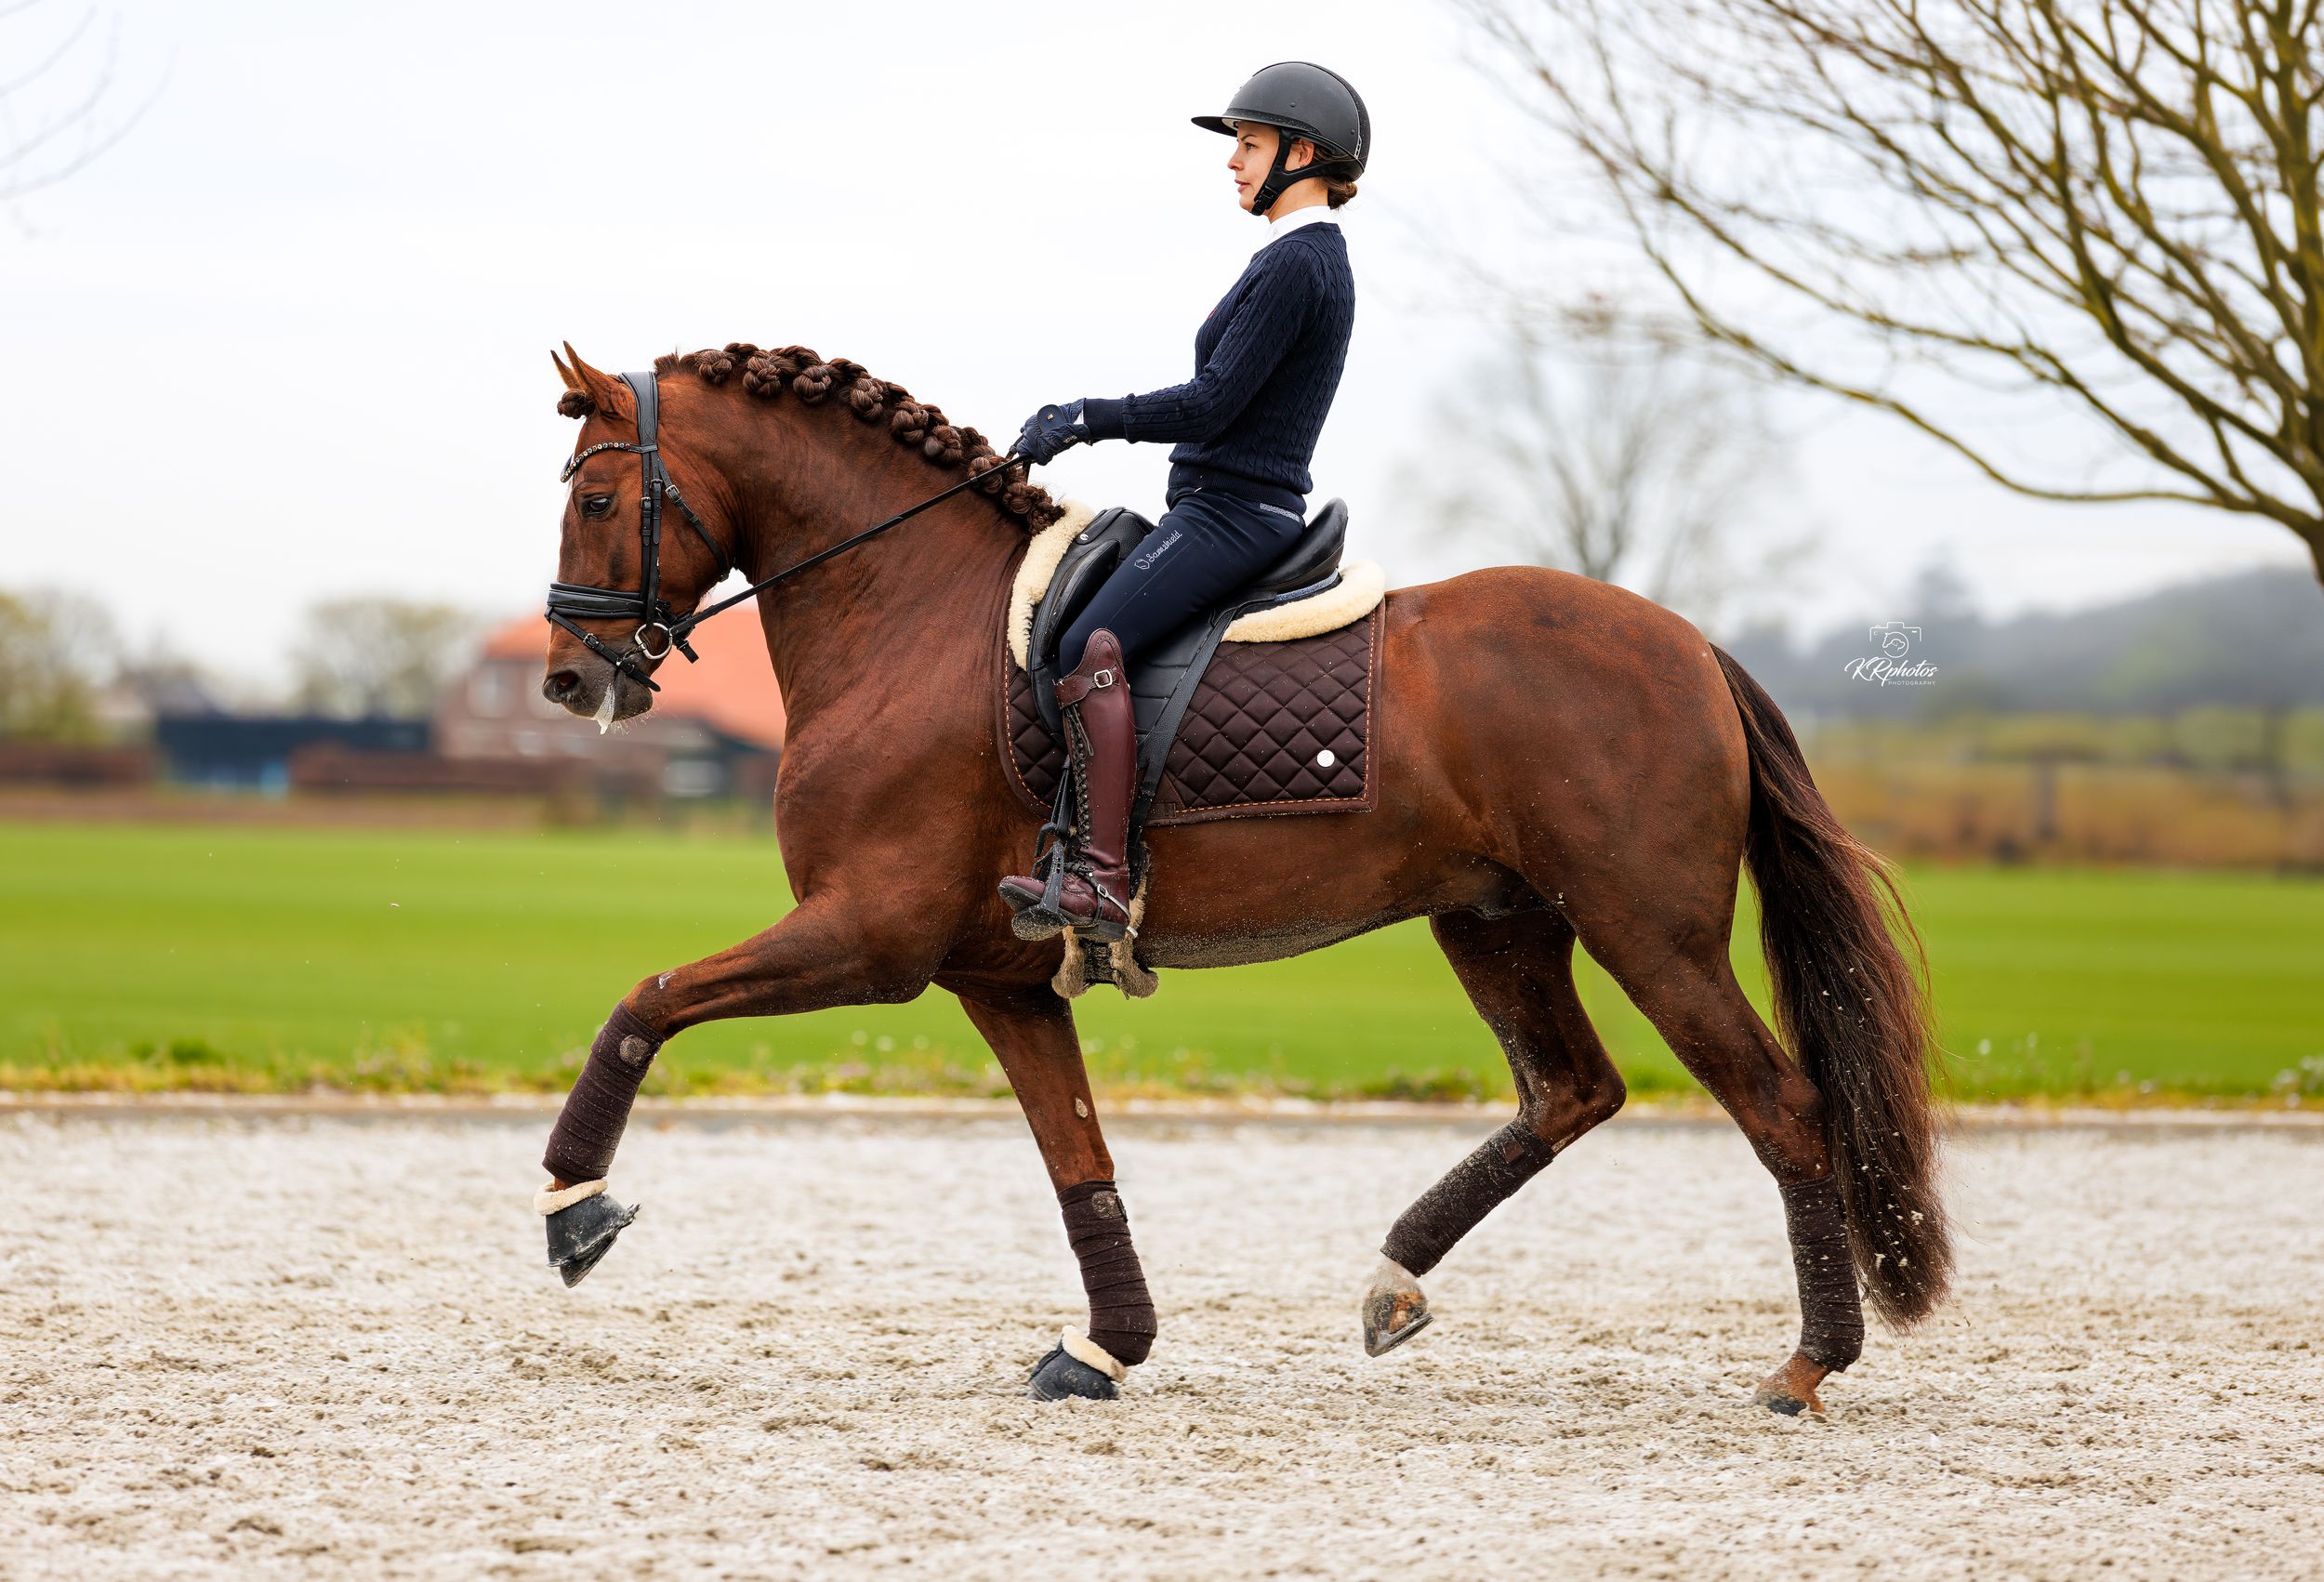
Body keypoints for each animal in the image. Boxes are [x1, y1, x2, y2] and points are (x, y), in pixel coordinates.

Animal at [532, 340, 1950, 1413]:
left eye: (595, 501)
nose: (566, 677)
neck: (912, 616)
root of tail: (1694, 644)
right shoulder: (999, 981)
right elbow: (1079, 1159)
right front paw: (1106, 1347)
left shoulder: (867, 938)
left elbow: (647, 1000)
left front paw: (572, 1206)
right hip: (1496, 920)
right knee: (1570, 1089)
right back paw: (1394, 1278)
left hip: (1650, 932)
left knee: (1782, 1105)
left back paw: (1807, 1365)